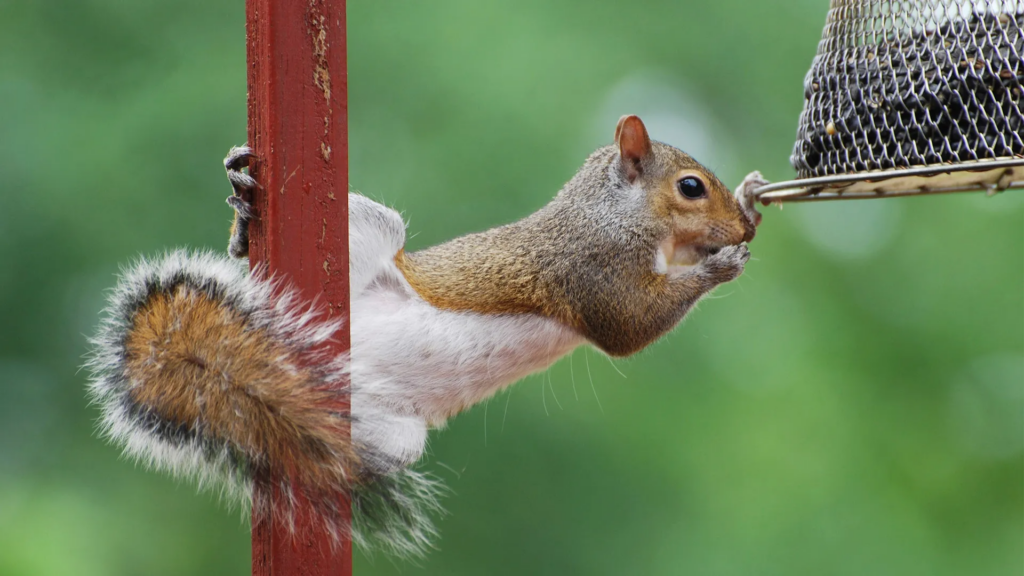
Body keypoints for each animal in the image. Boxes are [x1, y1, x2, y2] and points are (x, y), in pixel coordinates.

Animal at [86, 115, 767, 557]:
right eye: (690, 187)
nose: (743, 229)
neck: (612, 213)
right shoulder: (588, 270)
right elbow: (629, 326)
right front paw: (721, 264)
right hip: (367, 234)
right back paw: (244, 210)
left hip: (385, 434)